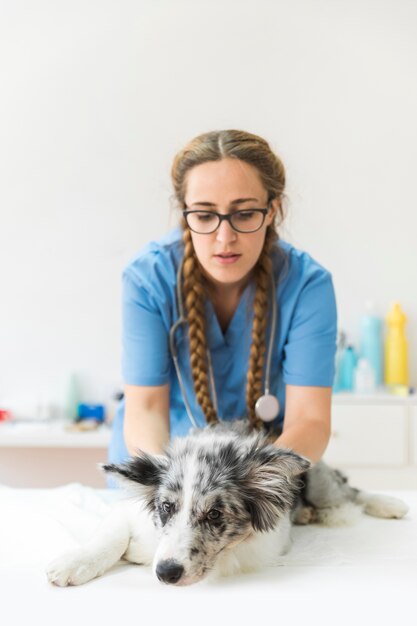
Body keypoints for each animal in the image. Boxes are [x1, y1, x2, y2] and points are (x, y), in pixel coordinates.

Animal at [44, 420, 406, 584]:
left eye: (216, 514)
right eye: (166, 508)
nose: (165, 573)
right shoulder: (128, 512)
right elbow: (109, 538)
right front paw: (73, 564)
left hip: (318, 481)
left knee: (351, 491)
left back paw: (390, 504)